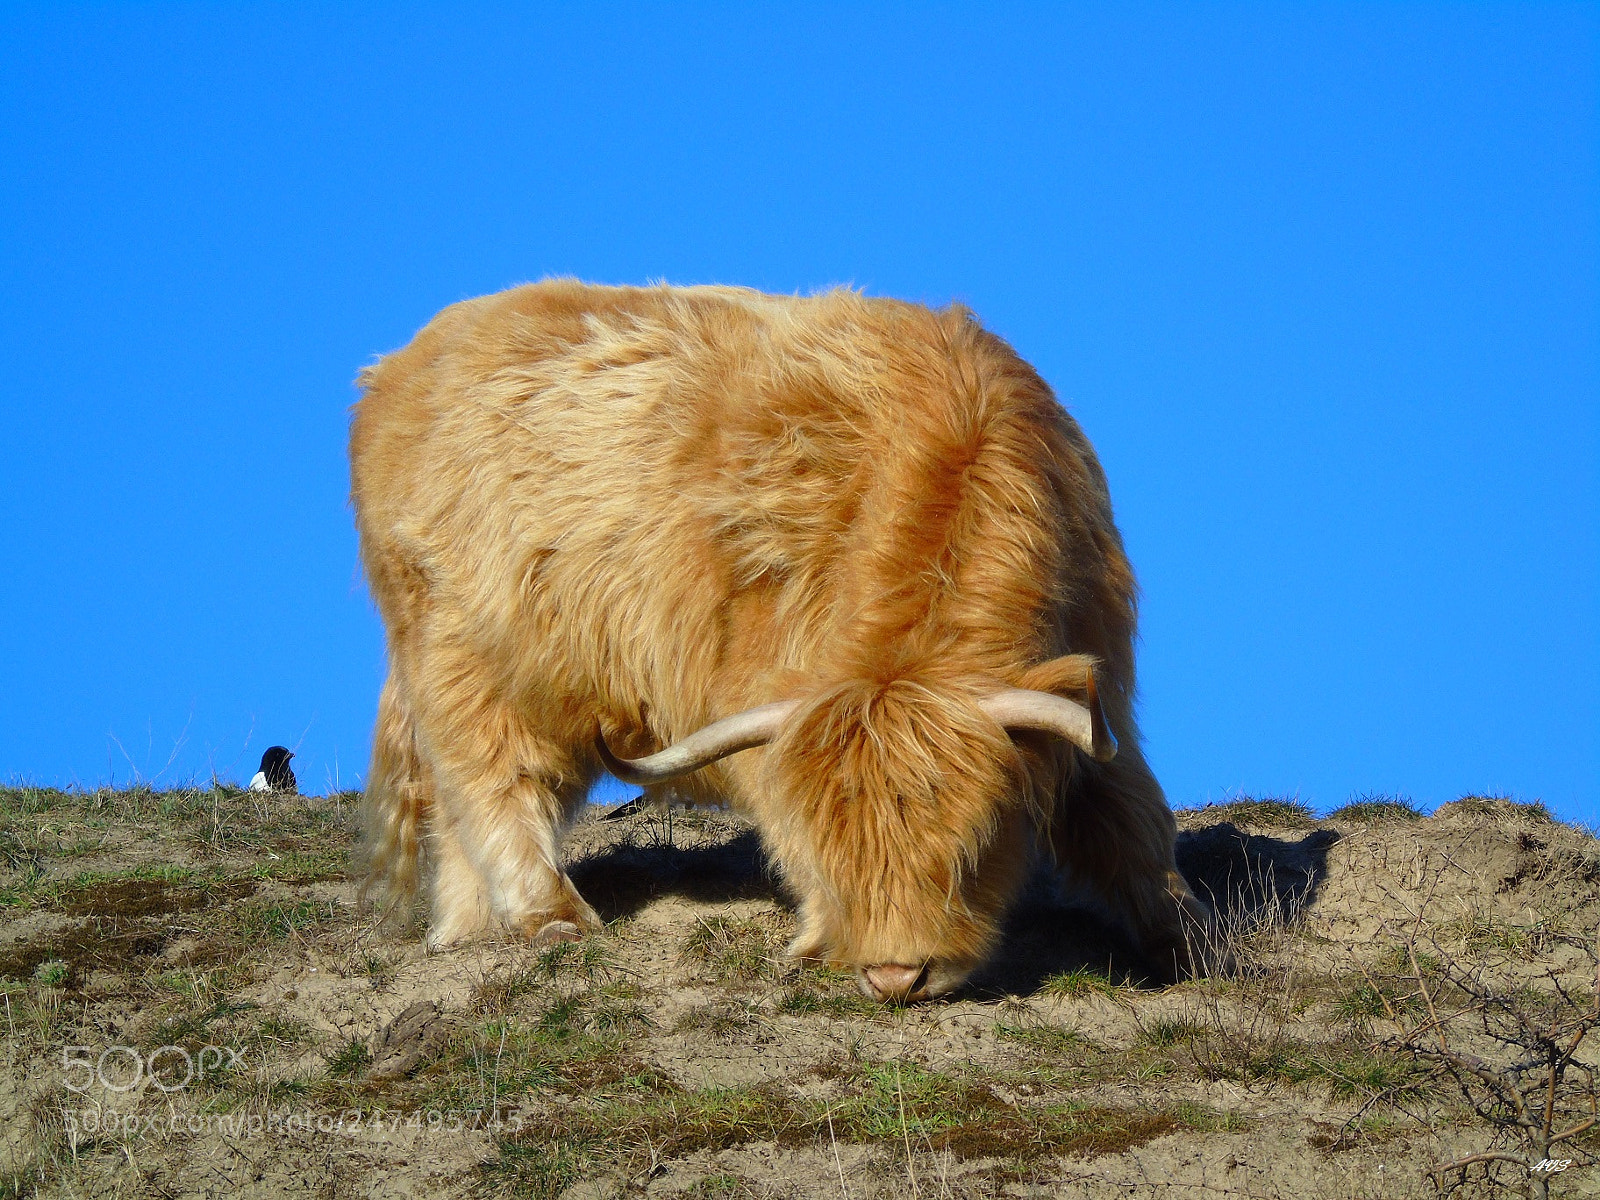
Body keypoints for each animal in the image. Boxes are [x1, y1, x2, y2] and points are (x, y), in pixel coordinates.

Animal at [351, 279, 1214, 1002]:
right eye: (835, 852)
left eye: (972, 845)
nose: (896, 976)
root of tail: (402, 364)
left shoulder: (1096, 683)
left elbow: (1129, 814)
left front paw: (1189, 936)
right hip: (463, 655)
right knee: (492, 782)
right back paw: (550, 916)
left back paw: (465, 935)